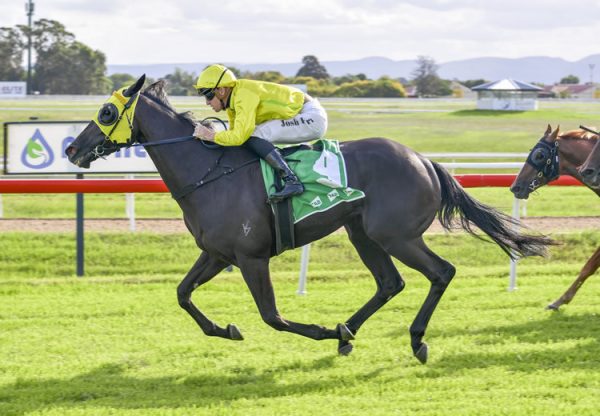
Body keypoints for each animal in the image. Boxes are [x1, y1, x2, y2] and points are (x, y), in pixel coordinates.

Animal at [65, 76, 552, 362]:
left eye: (107, 112)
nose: (71, 148)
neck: (210, 173)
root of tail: (424, 160)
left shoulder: (251, 257)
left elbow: (273, 316)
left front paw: (318, 329)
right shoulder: (218, 254)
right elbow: (183, 294)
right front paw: (225, 329)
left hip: (394, 234)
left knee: (441, 272)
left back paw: (412, 339)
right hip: (363, 233)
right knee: (390, 283)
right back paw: (347, 332)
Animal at [510, 125, 600, 310]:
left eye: (539, 155)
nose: (515, 187)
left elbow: (590, 265)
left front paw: (561, 300)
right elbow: (590, 265)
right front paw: (558, 301)